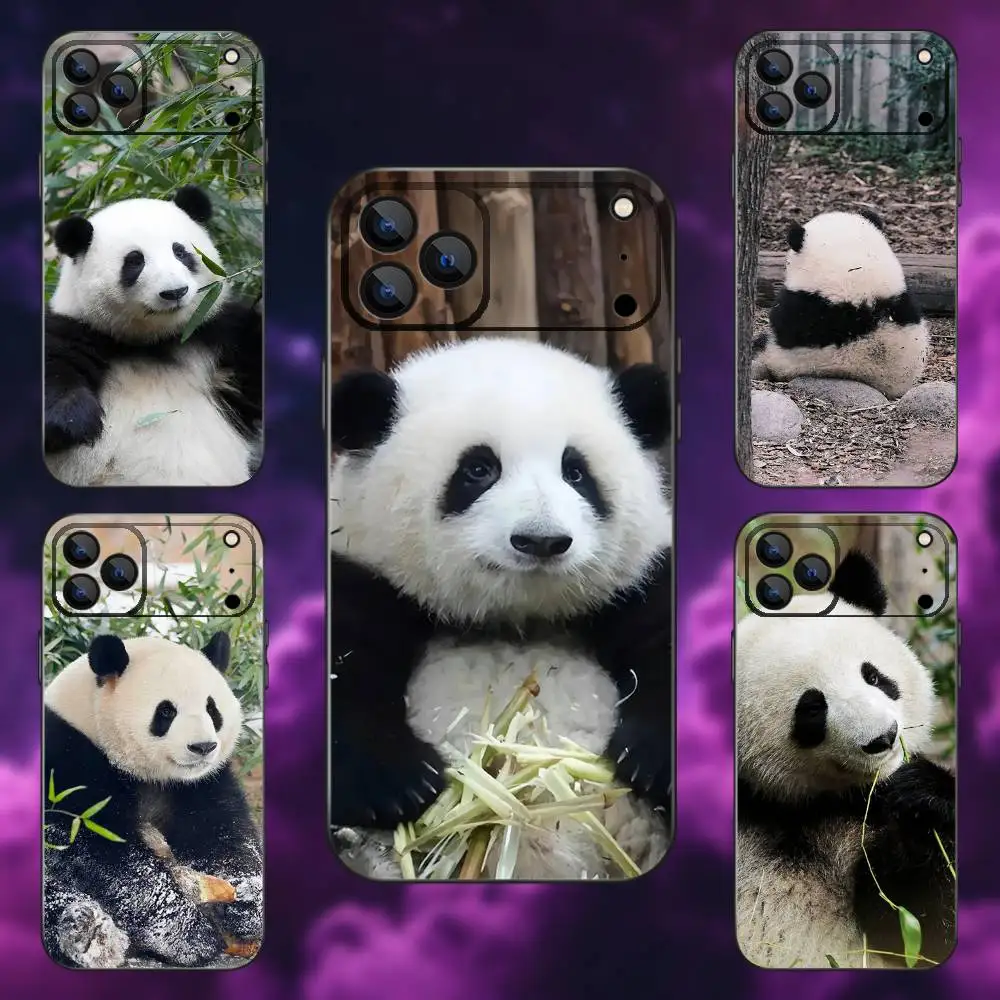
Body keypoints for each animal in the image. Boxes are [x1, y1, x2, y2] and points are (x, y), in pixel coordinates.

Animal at [42, 632, 263, 968]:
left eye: (212, 709)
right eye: (166, 712)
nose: (203, 747)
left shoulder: (201, 784)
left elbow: (226, 833)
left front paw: (247, 907)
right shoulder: (66, 761)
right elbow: (106, 855)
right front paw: (189, 936)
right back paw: (89, 932)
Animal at [44, 185, 262, 487]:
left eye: (181, 252)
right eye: (135, 261)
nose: (175, 292)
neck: (154, 342)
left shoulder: (219, 334)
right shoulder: (79, 330)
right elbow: (54, 367)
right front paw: (74, 420)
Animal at [327, 336, 674, 881]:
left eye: (576, 472)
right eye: (478, 469)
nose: (541, 540)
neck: (511, 619)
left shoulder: (640, 580)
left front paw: (650, 758)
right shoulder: (365, 576)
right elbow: (343, 673)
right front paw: (399, 783)